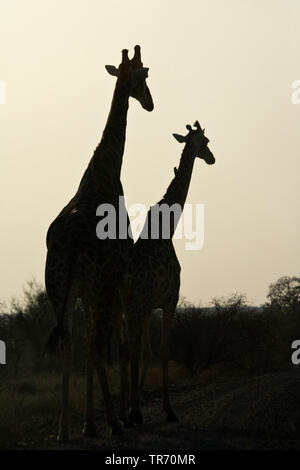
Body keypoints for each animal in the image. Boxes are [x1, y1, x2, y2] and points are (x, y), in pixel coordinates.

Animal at [45, 45, 155, 440]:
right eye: (143, 77)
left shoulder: (85, 290)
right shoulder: (114, 278)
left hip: (59, 288)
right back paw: (114, 423)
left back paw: (64, 429)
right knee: (93, 344)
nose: (150, 103)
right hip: (97, 285)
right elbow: (114, 346)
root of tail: (72, 242)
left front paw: (86, 425)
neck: (105, 173)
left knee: (68, 342)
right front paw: (113, 418)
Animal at [123, 120, 214, 422]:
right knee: (132, 348)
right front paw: (168, 408)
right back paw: (133, 412)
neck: (168, 228)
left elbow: (149, 352)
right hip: (136, 305)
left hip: (127, 306)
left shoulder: (150, 306)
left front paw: (137, 402)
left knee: (126, 350)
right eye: (206, 141)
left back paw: (128, 411)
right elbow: (163, 350)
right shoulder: (169, 299)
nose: (212, 158)